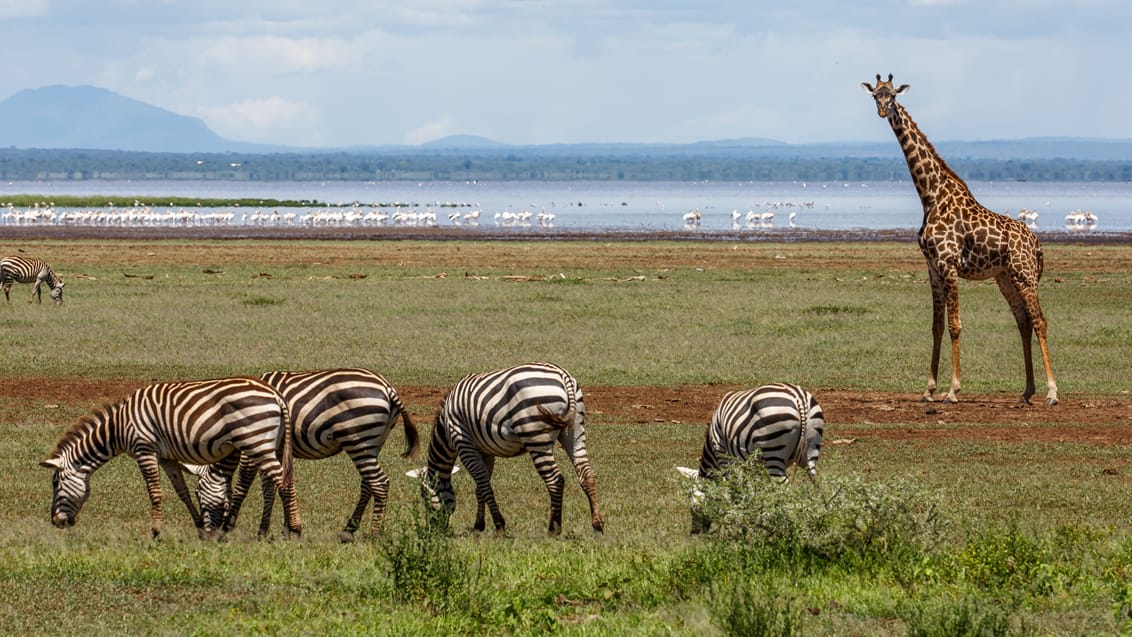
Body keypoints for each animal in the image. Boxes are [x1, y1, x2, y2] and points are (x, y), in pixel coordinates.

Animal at [42, 375, 303, 540]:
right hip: (271, 444)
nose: (55, 522)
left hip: (256, 442)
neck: (119, 427)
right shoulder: (167, 457)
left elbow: (155, 492)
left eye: (55, 483)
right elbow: (182, 491)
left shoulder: (145, 449)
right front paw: (200, 527)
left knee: (284, 481)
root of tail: (276, 395)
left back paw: (296, 529)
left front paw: (155, 532)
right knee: (281, 481)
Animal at [192, 368, 418, 543]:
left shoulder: (253, 447)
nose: (204, 534)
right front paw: (276, 530)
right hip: (373, 443)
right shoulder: (276, 450)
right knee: (368, 484)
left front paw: (228, 527)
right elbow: (274, 489)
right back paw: (348, 531)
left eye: (198, 492)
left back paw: (375, 534)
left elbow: (243, 486)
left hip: (358, 440)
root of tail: (387, 387)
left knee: (379, 482)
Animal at [405, 362, 602, 536]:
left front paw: (499, 525)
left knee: (555, 480)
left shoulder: (464, 443)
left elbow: (484, 484)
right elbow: (480, 487)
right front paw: (478, 526)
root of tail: (562, 374)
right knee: (586, 474)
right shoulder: (485, 451)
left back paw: (554, 529)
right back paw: (597, 525)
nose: (434, 529)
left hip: (535, 436)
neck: (446, 428)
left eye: (423, 495)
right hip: (575, 431)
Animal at [670, 384, 824, 534]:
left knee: (784, 488)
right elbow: (755, 489)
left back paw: (786, 526)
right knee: (816, 484)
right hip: (810, 451)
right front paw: (758, 518)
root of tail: (799, 398)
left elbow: (734, 489)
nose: (695, 534)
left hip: (772, 451)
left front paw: (738, 522)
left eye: (693, 503)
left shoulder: (723, 455)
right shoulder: (755, 467)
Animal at [860, 73, 1055, 402]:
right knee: (1023, 321)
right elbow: (936, 326)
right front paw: (929, 389)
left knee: (1040, 320)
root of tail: (1037, 244)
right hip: (1005, 277)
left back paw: (1052, 391)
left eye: (893, 95)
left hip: (1025, 274)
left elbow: (955, 325)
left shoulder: (949, 264)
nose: (883, 110)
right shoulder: (932, 267)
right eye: (875, 95)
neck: (930, 195)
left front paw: (952, 389)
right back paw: (1027, 391)